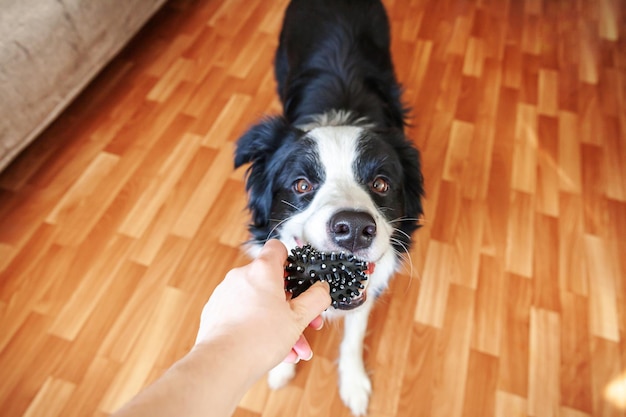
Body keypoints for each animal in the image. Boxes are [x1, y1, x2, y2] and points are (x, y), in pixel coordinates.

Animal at [234, 0, 424, 412]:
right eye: (302, 185)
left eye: (380, 183)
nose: (353, 228)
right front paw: (280, 367)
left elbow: (354, 334)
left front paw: (353, 383)